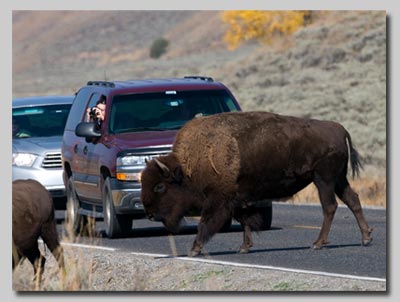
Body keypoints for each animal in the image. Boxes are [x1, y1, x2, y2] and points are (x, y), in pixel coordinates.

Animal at [140, 111, 372, 258]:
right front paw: (244, 247)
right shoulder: (237, 199)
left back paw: (317, 243)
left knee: (330, 206)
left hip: (323, 179)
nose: (149, 213)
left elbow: (206, 224)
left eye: (160, 186)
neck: (189, 165)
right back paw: (366, 238)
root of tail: (338, 128)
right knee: (352, 200)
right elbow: (246, 221)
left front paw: (194, 249)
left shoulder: (218, 201)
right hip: (338, 179)